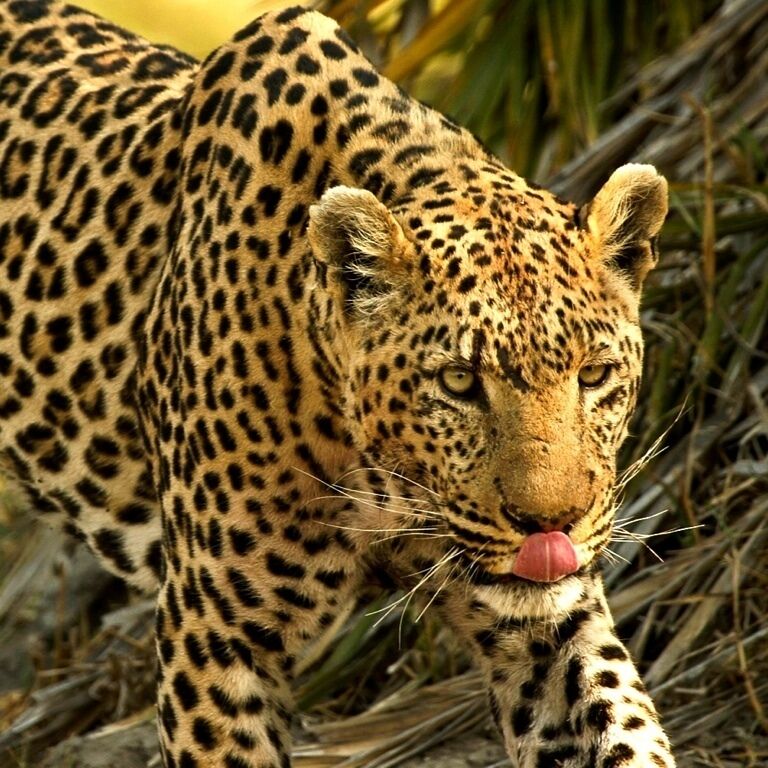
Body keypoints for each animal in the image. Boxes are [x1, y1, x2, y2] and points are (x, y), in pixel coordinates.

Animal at [0, 1, 675, 767]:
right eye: (458, 381)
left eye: (595, 375)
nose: (550, 526)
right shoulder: (214, 636)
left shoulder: (552, 626)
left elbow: (621, 728)